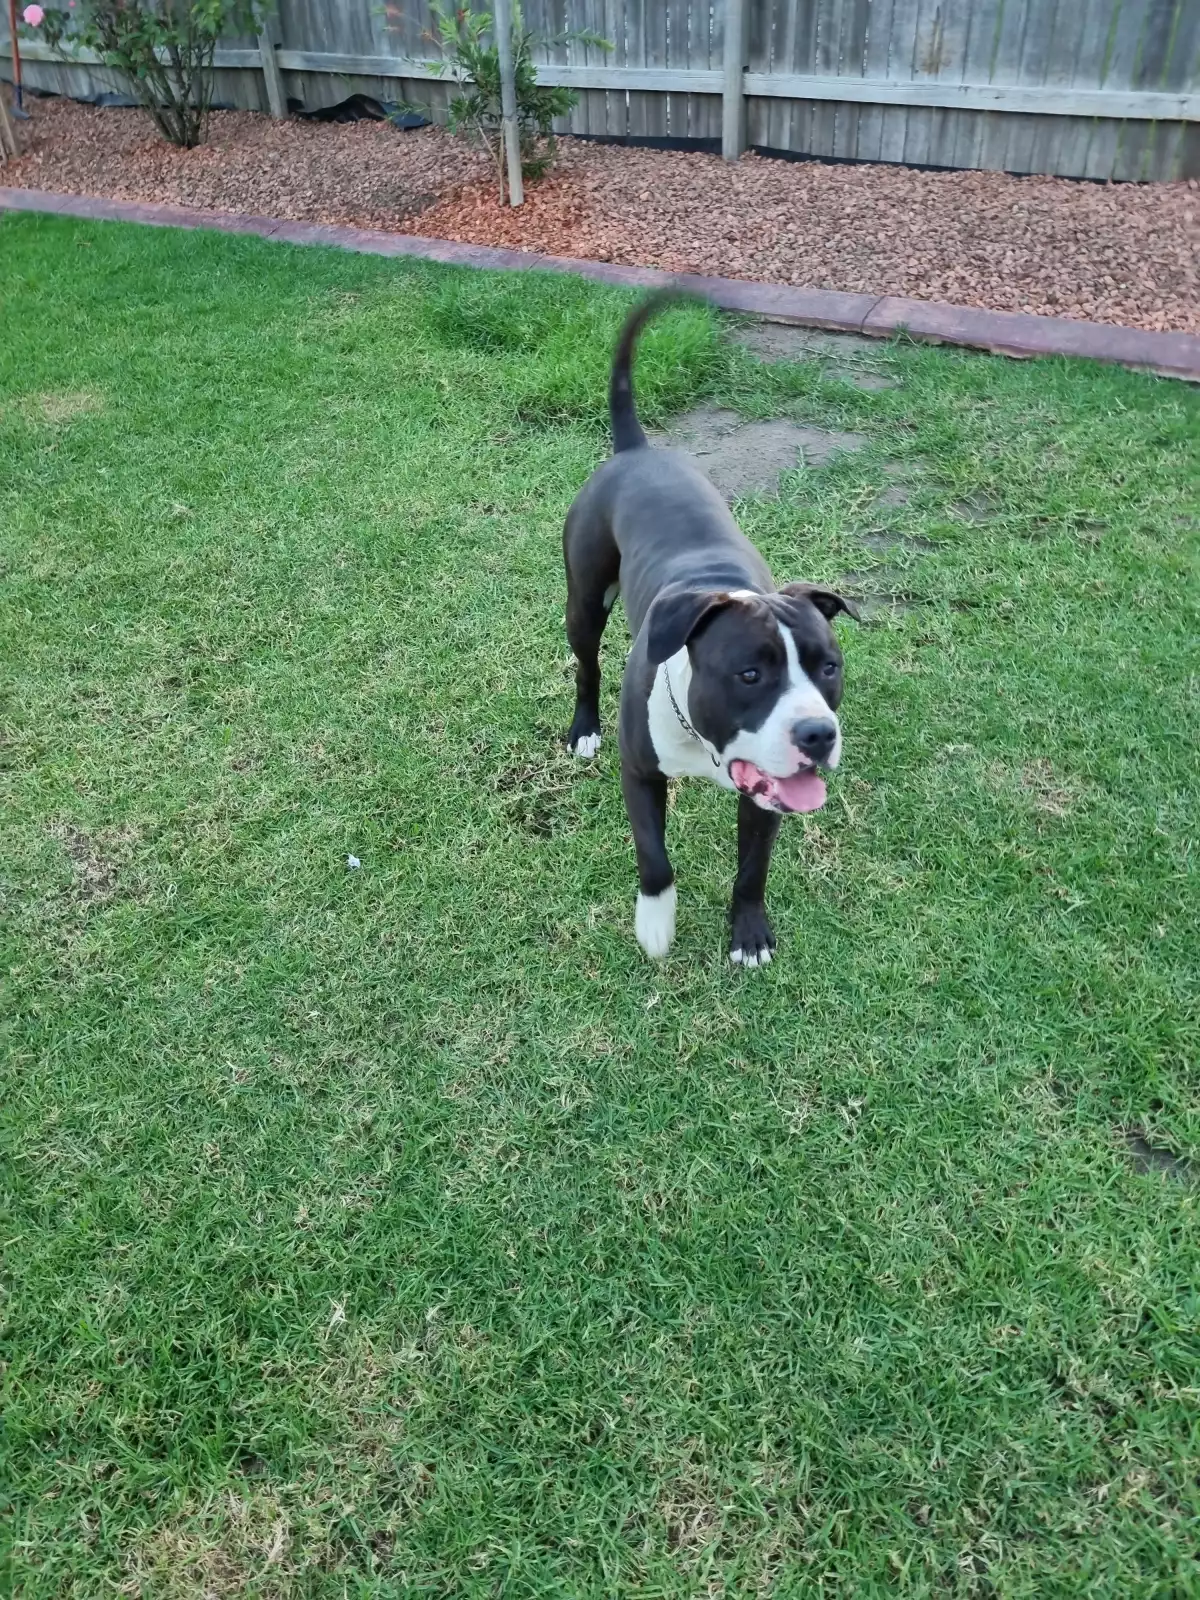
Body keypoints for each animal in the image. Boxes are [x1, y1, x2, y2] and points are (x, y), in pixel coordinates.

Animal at [563, 291, 859, 966]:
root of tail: (636, 451)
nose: (817, 734)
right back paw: (583, 728)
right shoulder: (640, 774)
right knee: (587, 665)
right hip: (584, 606)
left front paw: (748, 935)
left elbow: (752, 869)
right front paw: (655, 923)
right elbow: (654, 858)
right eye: (749, 674)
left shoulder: (771, 793)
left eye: (828, 667)